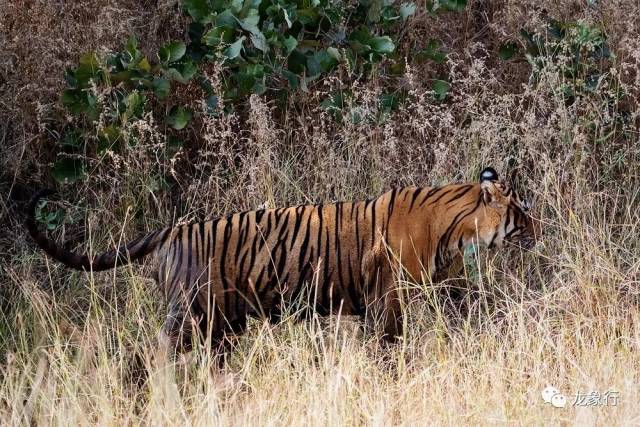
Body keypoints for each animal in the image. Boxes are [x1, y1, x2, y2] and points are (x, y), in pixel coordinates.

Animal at [25, 169, 536, 352]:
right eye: (519, 210)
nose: (538, 227)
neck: (457, 229)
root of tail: (173, 229)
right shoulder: (387, 299)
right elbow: (389, 346)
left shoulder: (433, 288)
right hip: (189, 316)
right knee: (148, 358)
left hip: (223, 326)